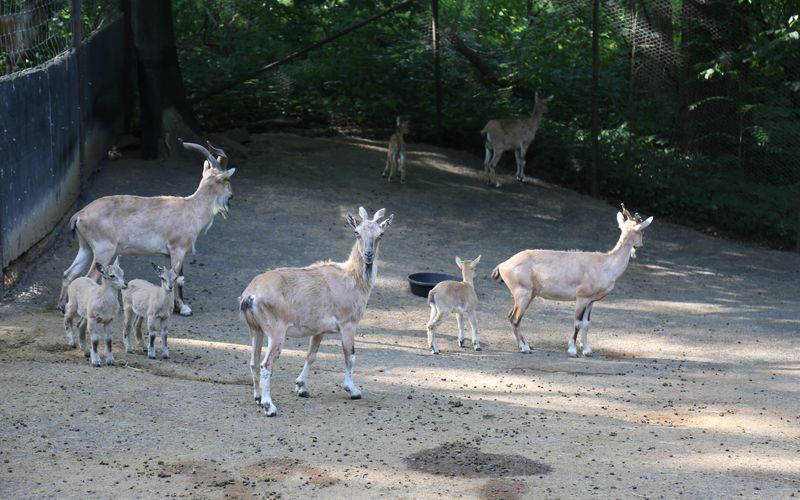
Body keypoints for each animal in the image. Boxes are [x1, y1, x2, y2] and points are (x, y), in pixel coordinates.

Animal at [57, 139, 234, 314]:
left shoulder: (167, 254)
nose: (231, 197)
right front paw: (184, 308)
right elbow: (179, 278)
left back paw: (61, 305)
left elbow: (172, 276)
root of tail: (78, 215)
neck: (191, 208)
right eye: (227, 181)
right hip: (103, 251)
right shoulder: (178, 249)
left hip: (86, 247)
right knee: (90, 277)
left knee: (69, 274)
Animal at [241, 205, 396, 416]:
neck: (352, 278)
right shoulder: (348, 324)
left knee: (254, 362)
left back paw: (257, 398)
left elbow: (311, 355)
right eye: (357, 232)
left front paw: (302, 387)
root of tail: (251, 294)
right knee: (266, 365)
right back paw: (269, 406)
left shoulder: (319, 330)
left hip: (255, 329)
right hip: (276, 331)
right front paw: (353, 390)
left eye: (381, 234)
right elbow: (350, 356)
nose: (369, 254)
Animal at [490, 205, 652, 358]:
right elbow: (577, 323)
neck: (605, 264)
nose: (639, 246)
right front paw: (573, 351)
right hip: (523, 294)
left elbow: (586, 324)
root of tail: (503, 265)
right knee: (515, 318)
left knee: (511, 316)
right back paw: (525, 348)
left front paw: (587, 350)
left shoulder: (591, 301)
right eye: (642, 231)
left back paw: (526, 346)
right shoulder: (581, 298)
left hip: (528, 295)